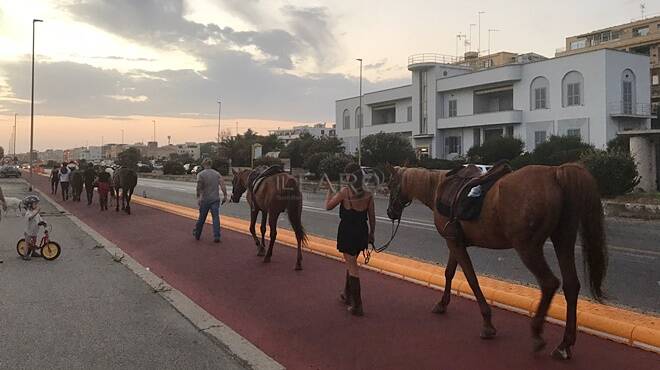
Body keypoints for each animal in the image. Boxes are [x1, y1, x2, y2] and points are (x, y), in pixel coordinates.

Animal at [386, 163, 608, 360]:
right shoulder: (455, 241)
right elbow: (449, 272)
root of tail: (555, 173)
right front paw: (442, 304)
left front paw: (487, 324)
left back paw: (537, 333)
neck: (438, 188)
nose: (390, 212)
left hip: (528, 247)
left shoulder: (455, 243)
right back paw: (564, 344)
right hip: (563, 239)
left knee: (549, 283)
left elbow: (471, 279)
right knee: (571, 285)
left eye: (390, 184)